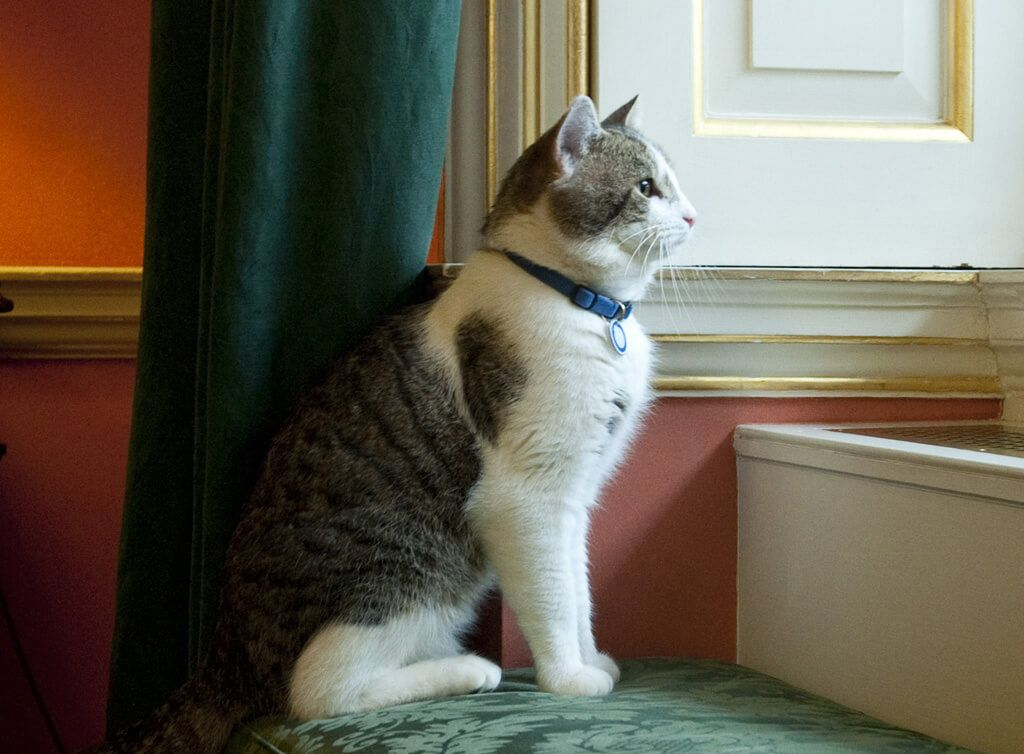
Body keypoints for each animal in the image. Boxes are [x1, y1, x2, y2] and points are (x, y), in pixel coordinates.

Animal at [90, 93, 697, 753]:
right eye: (646, 187)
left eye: (673, 183)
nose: (693, 216)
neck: (580, 302)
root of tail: (226, 656)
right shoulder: (527, 495)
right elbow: (553, 596)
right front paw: (568, 679)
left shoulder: (574, 496)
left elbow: (577, 588)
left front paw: (591, 659)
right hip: (405, 571)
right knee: (317, 693)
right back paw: (468, 671)